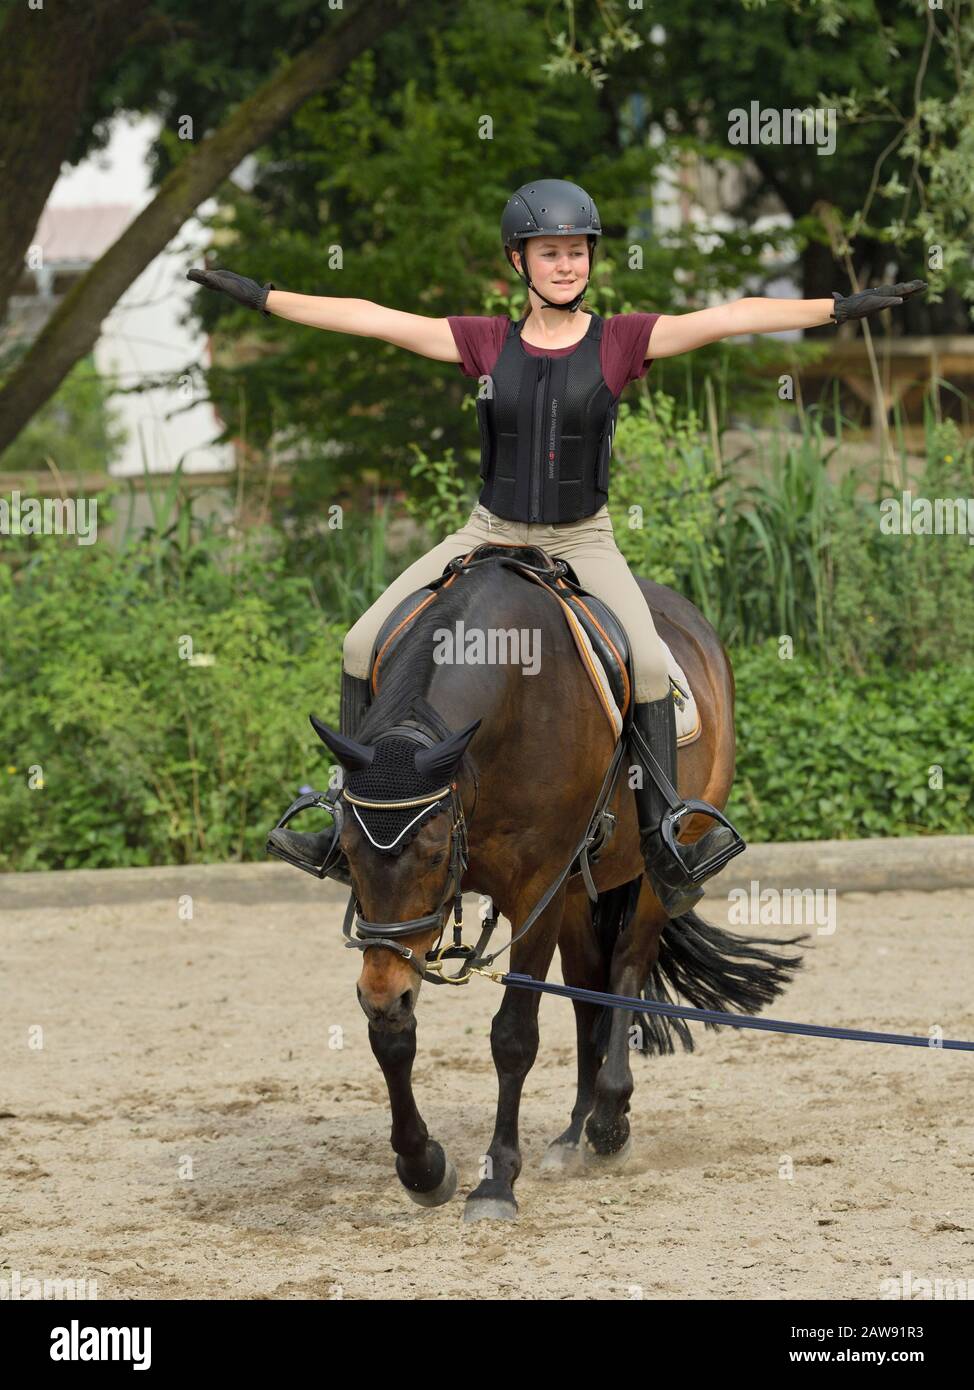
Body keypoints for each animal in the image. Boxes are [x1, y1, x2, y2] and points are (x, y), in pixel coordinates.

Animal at [311, 551, 802, 1221]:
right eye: (352, 853)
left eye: (434, 854)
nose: (384, 993)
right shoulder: (405, 945)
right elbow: (393, 1035)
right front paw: (423, 1168)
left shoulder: (535, 890)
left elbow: (513, 1036)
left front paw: (496, 1182)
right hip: (573, 893)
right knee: (587, 986)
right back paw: (575, 1132)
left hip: (649, 876)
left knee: (625, 968)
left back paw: (609, 1123)